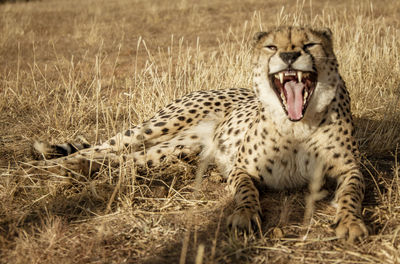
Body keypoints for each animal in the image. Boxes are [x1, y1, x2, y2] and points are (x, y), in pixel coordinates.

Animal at [26, 26, 368, 243]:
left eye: (310, 45)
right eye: (272, 46)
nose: (288, 56)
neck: (296, 123)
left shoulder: (351, 169)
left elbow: (352, 194)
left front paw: (350, 223)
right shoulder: (242, 168)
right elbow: (246, 192)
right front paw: (245, 215)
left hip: (173, 149)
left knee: (124, 158)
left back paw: (77, 169)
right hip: (161, 124)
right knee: (104, 146)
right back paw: (48, 167)